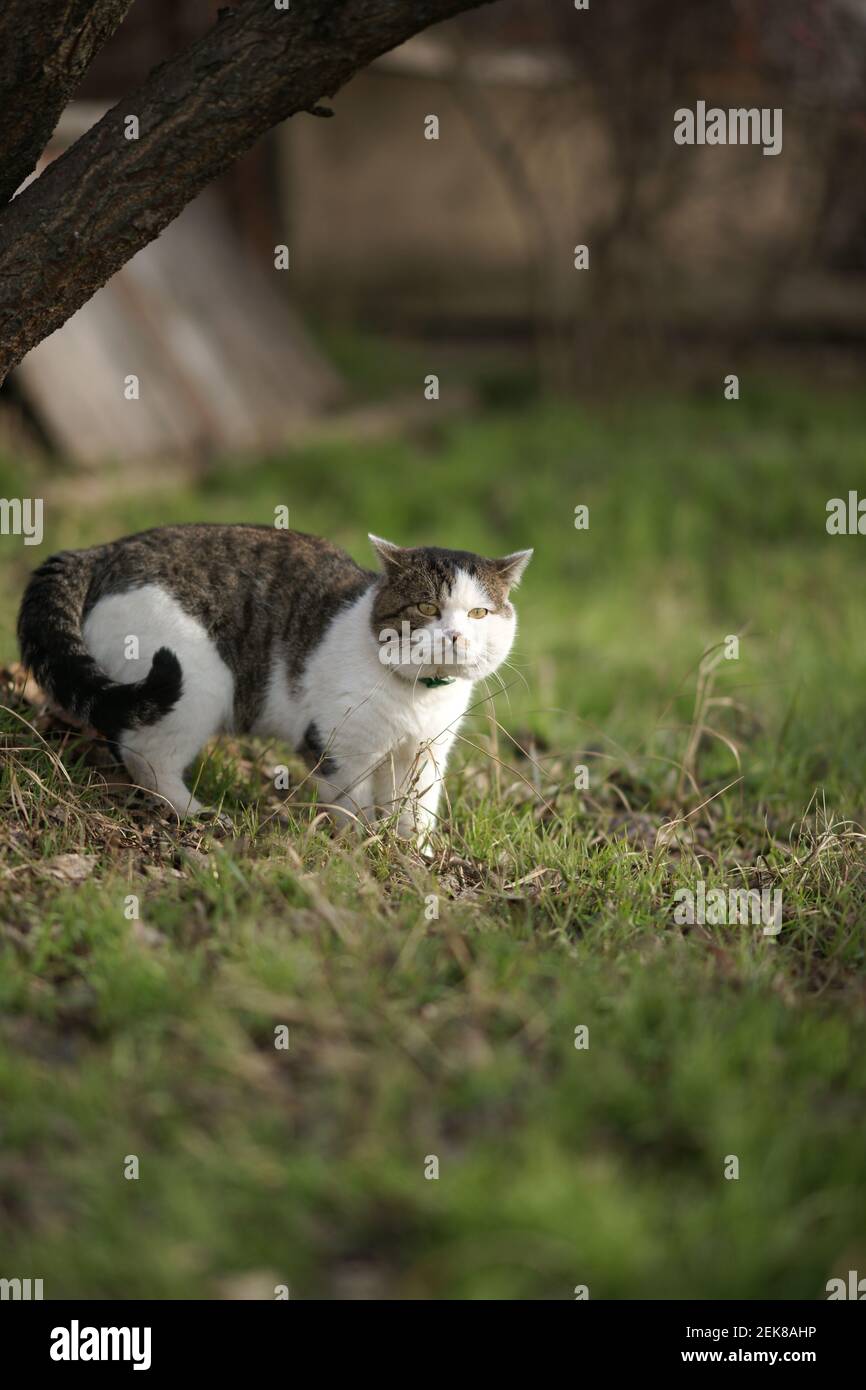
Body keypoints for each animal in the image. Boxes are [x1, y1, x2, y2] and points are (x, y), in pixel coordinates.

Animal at [18, 522, 536, 839]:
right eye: (428, 608)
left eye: (478, 613)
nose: (454, 635)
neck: (416, 697)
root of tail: (105, 549)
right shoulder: (338, 750)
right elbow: (354, 809)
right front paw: (360, 852)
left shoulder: (424, 755)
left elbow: (415, 815)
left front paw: (413, 858)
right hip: (195, 686)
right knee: (146, 756)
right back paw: (197, 814)